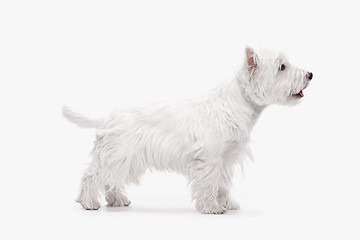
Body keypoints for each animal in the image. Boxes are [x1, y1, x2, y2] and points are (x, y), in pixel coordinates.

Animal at [62, 47, 312, 214]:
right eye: (282, 67)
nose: (310, 75)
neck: (238, 103)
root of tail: (107, 118)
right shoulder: (209, 157)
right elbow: (209, 182)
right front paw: (211, 207)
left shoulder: (227, 158)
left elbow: (223, 183)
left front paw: (226, 203)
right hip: (117, 154)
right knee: (92, 175)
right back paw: (88, 203)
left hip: (124, 158)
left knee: (110, 179)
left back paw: (118, 200)